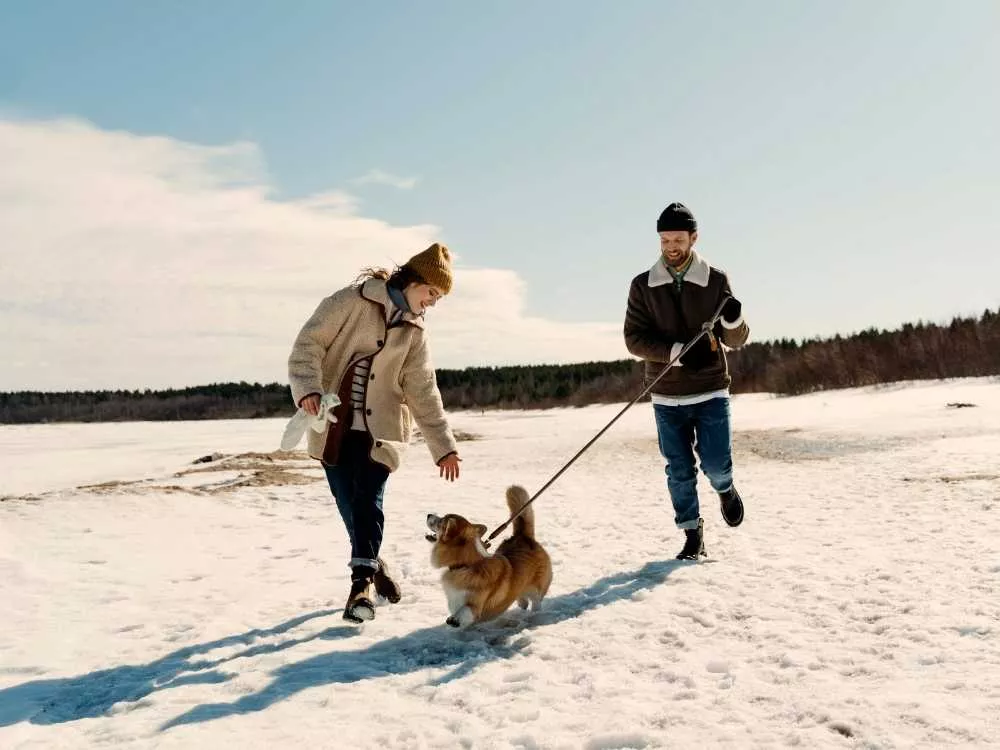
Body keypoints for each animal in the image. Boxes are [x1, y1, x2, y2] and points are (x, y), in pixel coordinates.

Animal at [424, 488, 556, 628]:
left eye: (440, 522)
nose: (428, 515)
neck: (468, 564)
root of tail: (524, 536)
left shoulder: (476, 606)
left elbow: (466, 610)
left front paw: (455, 619)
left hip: (537, 589)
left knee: (536, 602)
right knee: (523, 601)